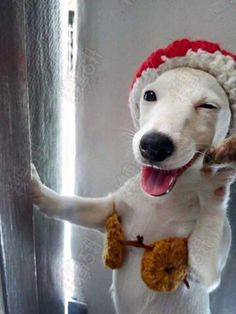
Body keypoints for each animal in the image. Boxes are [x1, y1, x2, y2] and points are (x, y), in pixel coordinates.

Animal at [30, 39, 236, 314]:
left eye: (208, 106)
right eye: (149, 95)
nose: (154, 145)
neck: (162, 200)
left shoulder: (204, 270)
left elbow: (207, 242)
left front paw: (213, 184)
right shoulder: (108, 211)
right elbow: (70, 205)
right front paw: (35, 187)